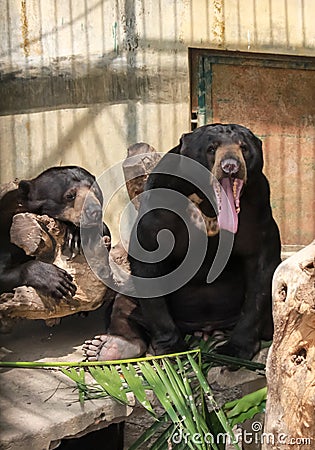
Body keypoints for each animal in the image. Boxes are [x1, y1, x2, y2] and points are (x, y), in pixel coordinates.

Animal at [0, 167, 110, 300]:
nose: (95, 211)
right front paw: (57, 279)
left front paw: (76, 236)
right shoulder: (7, 233)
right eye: (70, 196)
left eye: (95, 191)